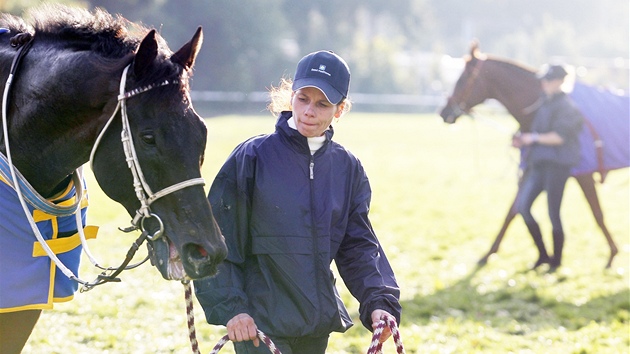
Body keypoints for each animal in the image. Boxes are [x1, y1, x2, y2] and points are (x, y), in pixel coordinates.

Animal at [442, 42, 624, 272]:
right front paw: (491, 253)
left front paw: (612, 255)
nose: (444, 111)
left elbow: (597, 214)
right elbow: (513, 211)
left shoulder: (583, 174)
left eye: (464, 77)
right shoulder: (530, 171)